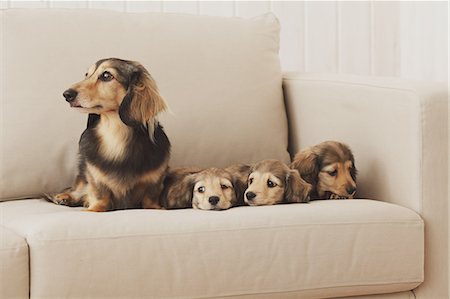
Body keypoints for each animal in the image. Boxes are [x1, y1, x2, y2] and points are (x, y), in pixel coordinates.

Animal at [49, 58, 171, 212]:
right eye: (87, 75)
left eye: (106, 75)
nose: (66, 94)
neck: (116, 135)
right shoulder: (95, 178)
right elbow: (100, 197)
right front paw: (92, 209)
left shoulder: (155, 183)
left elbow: (150, 200)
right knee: (77, 189)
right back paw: (64, 197)